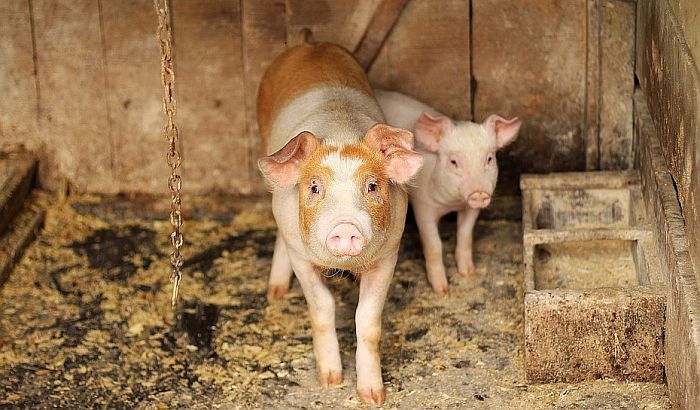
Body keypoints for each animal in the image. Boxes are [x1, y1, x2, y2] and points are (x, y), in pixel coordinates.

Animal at [258, 42, 422, 404]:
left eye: (372, 186)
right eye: (314, 187)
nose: (345, 226)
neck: (339, 131)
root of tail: (311, 43)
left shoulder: (389, 254)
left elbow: (368, 321)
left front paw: (373, 397)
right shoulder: (301, 257)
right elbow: (322, 309)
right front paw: (330, 381)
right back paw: (276, 292)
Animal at [378, 90, 520, 294]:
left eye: (489, 158)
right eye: (453, 162)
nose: (479, 193)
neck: (451, 204)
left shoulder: (470, 209)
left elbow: (465, 235)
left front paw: (469, 273)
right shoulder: (423, 206)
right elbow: (434, 245)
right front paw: (442, 291)